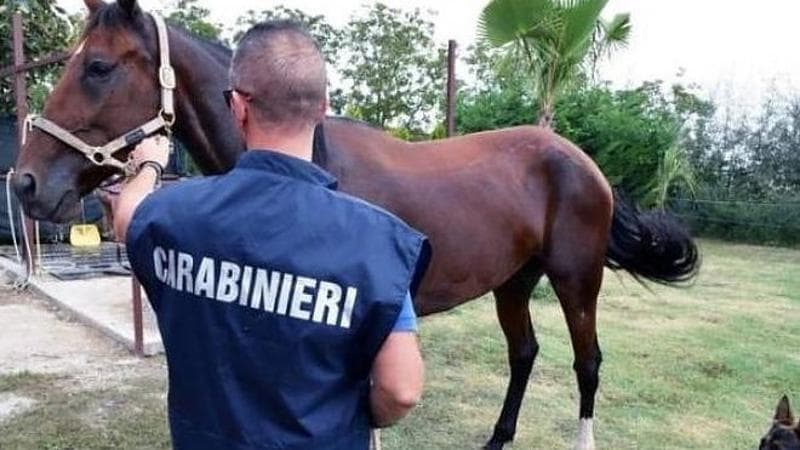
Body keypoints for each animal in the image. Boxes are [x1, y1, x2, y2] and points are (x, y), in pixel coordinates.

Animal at [11, 1, 699, 448]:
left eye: (98, 67)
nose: (25, 183)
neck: (305, 161)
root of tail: (582, 161)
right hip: (513, 281)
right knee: (525, 353)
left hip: (576, 280)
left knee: (587, 363)